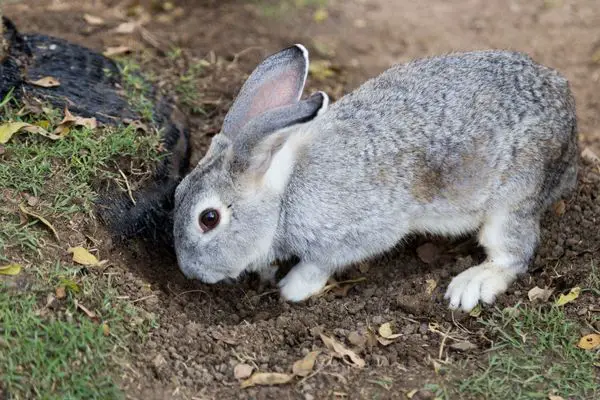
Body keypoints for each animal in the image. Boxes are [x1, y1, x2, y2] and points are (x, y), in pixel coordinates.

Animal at [172, 44, 576, 312]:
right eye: (176, 193)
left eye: (209, 219)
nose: (190, 271)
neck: (283, 196)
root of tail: (570, 120)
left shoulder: (357, 233)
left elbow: (320, 263)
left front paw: (292, 287)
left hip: (513, 199)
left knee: (514, 253)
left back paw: (472, 285)